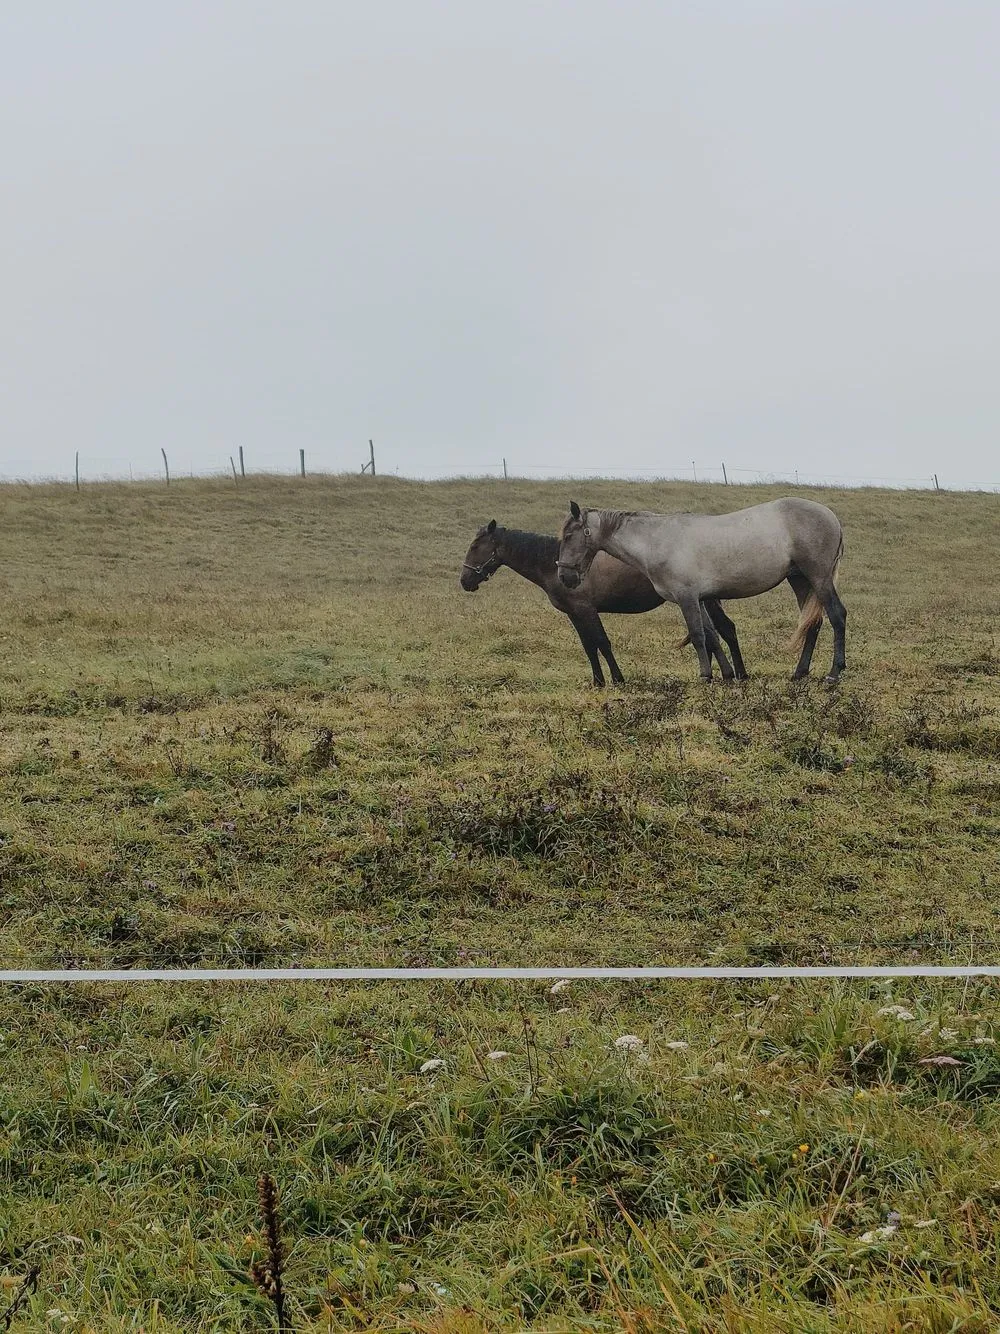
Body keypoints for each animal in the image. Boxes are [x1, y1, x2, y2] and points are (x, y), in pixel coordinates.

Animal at [460, 520, 749, 686]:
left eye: (475, 547)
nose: (465, 581)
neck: (555, 565)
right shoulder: (574, 614)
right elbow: (589, 646)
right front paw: (598, 681)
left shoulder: (587, 610)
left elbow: (602, 642)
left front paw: (618, 679)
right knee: (719, 632)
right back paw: (735, 674)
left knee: (718, 632)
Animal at [556, 498, 846, 682]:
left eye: (569, 536)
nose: (564, 576)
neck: (658, 541)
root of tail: (831, 515)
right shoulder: (702, 598)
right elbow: (710, 636)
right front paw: (726, 676)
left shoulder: (687, 598)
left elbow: (697, 636)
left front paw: (705, 676)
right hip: (800, 580)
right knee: (813, 623)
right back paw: (799, 672)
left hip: (818, 577)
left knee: (837, 616)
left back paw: (834, 673)